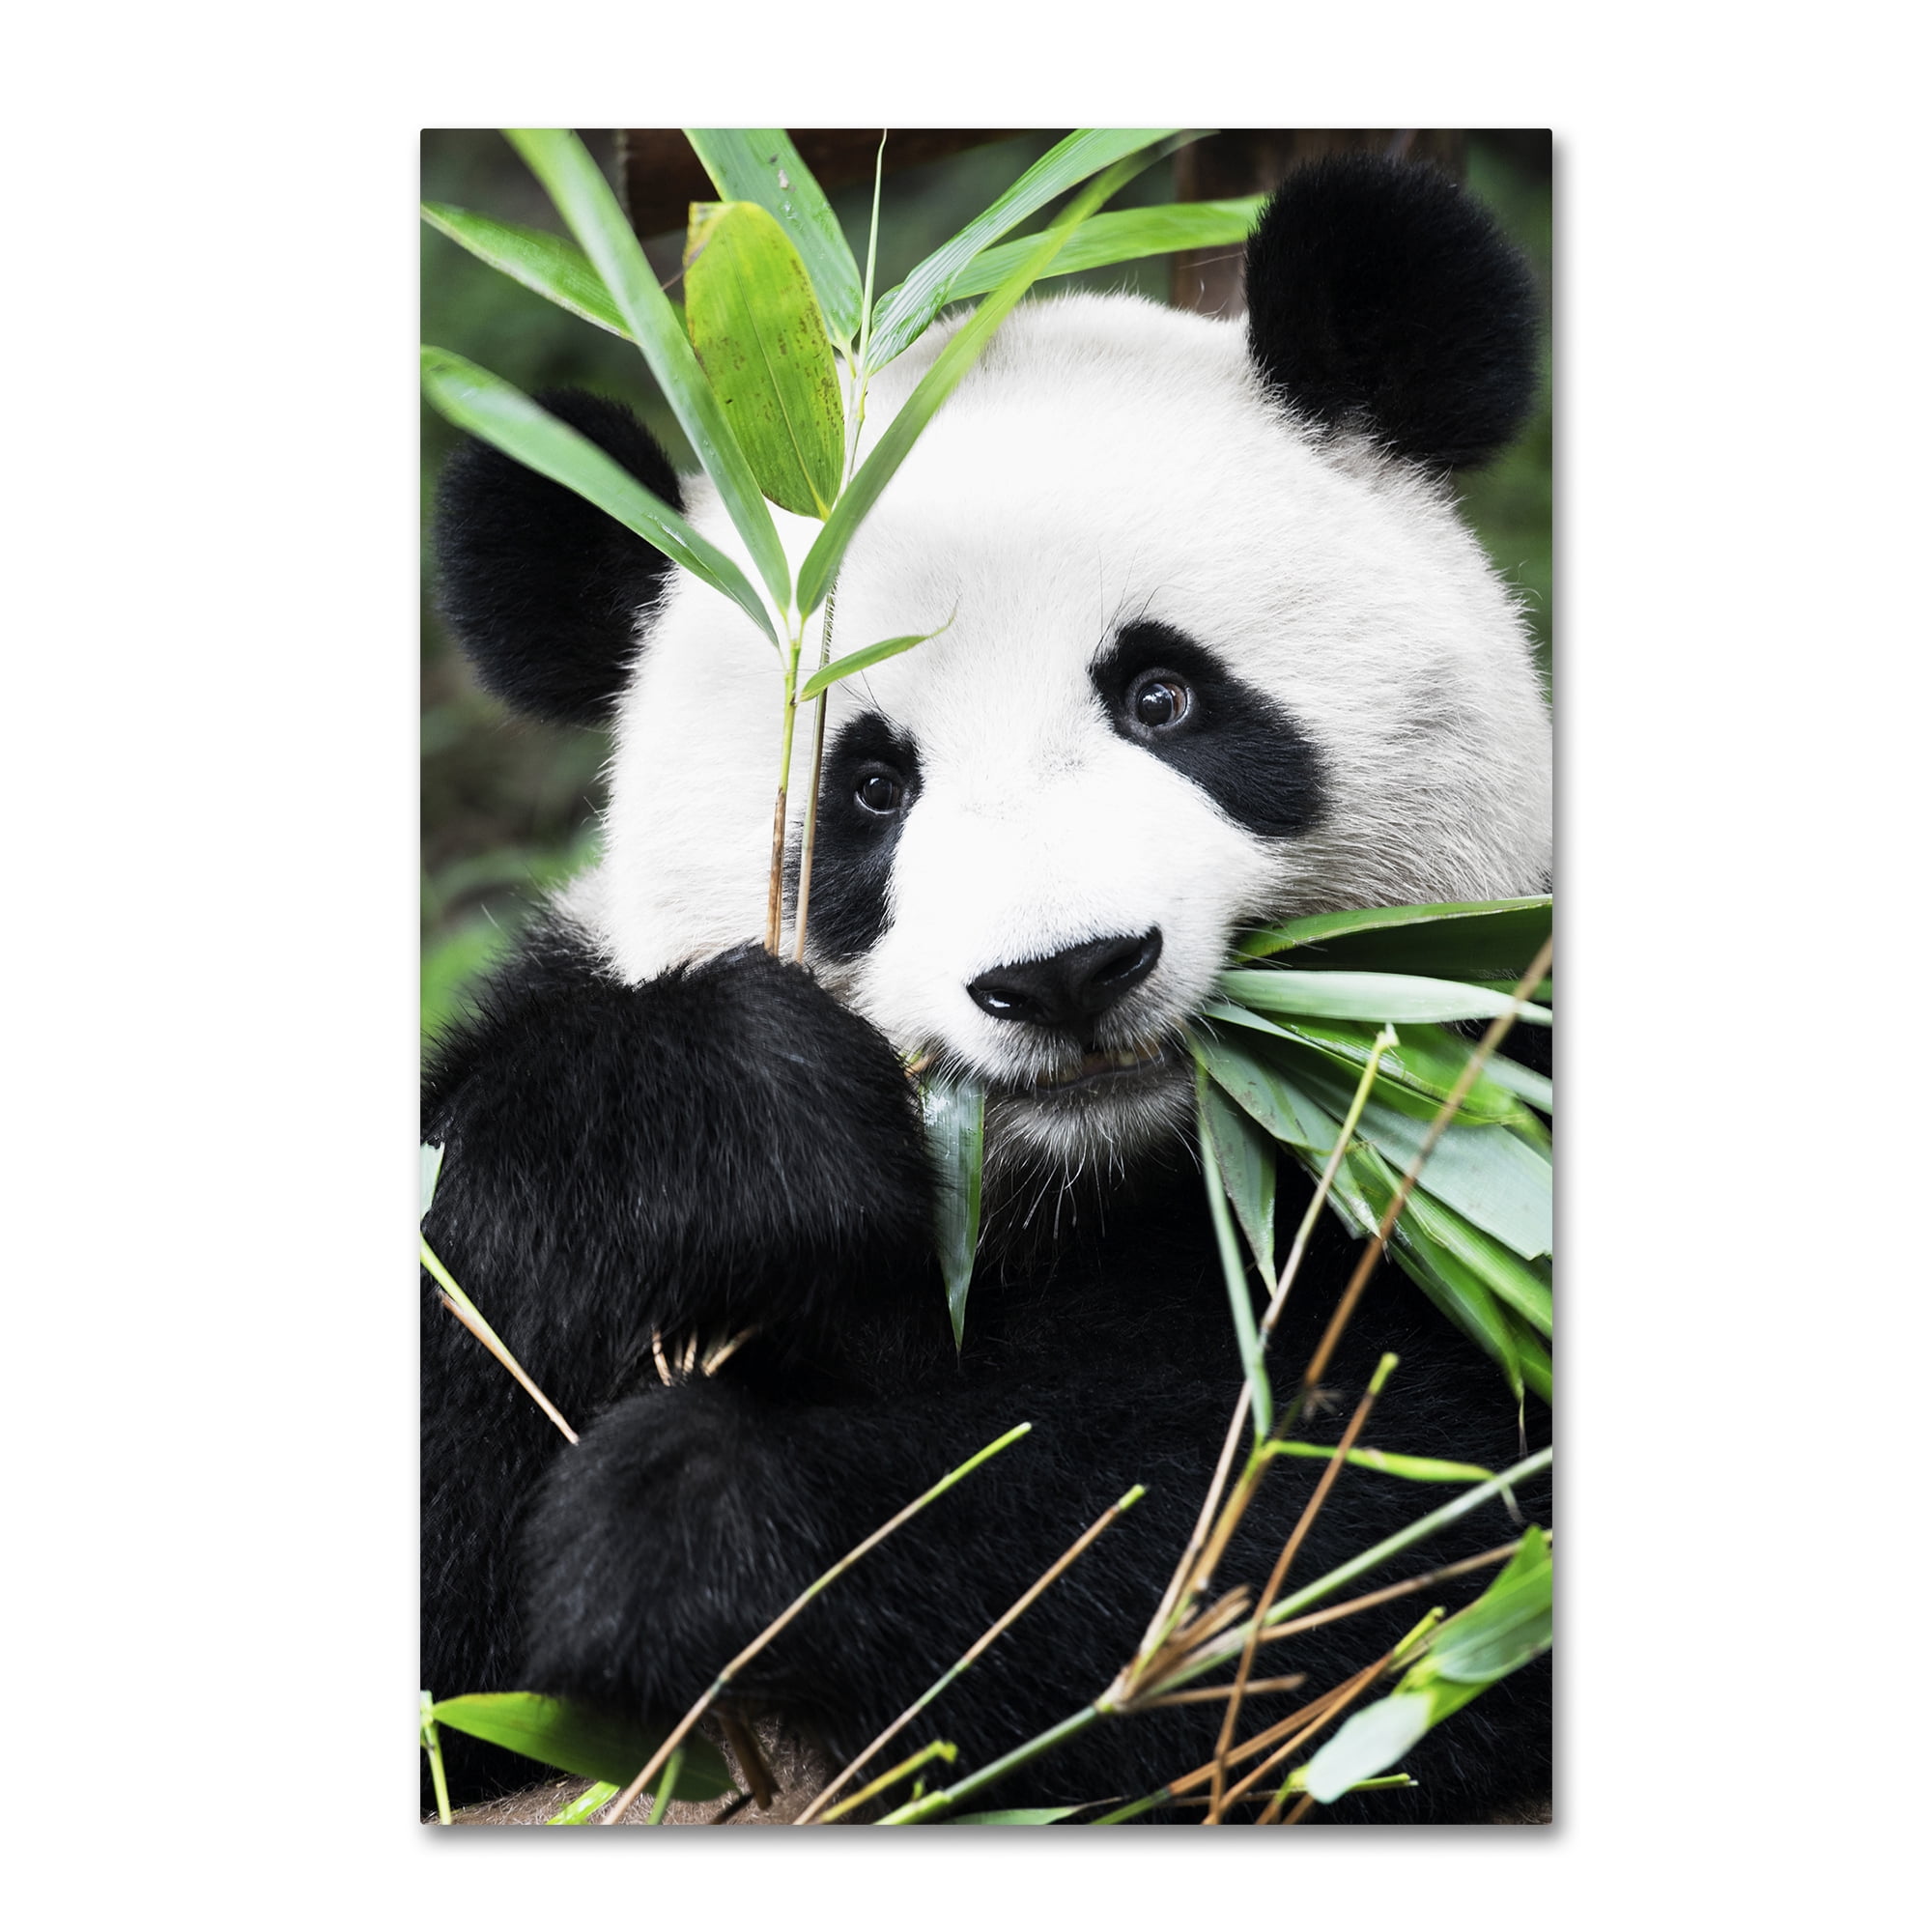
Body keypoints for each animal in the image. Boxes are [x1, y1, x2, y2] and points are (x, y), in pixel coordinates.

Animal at [421, 154, 1553, 1824]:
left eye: (1164, 696)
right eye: (869, 788)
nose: (1065, 973)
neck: (1088, 1190)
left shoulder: (1483, 1105)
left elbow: (1375, 1530)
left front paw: (692, 1519)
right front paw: (729, 1129)